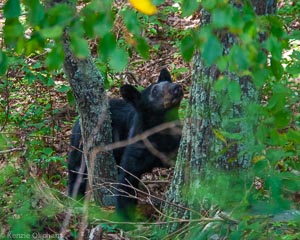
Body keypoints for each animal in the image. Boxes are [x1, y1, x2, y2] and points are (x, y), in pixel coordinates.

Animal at [68, 67, 183, 219]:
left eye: (168, 82)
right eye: (154, 91)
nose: (176, 87)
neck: (161, 132)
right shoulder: (138, 147)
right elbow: (126, 182)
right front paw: (125, 218)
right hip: (81, 146)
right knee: (76, 171)